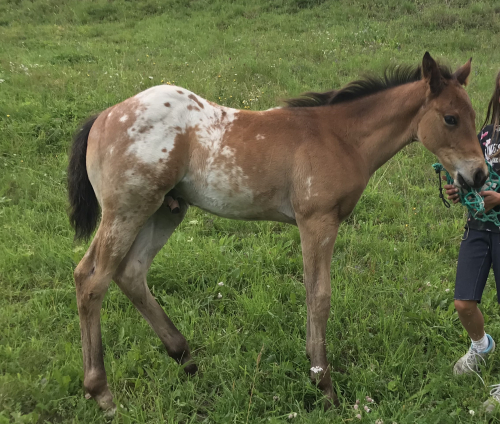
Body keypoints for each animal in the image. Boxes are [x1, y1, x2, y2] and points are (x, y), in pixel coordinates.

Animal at [67, 51, 488, 412]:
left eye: (473, 115)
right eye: (450, 118)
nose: (480, 175)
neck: (341, 137)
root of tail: (104, 116)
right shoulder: (317, 220)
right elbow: (319, 295)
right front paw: (323, 384)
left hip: (164, 211)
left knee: (130, 273)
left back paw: (185, 359)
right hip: (127, 210)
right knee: (92, 279)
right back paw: (102, 393)